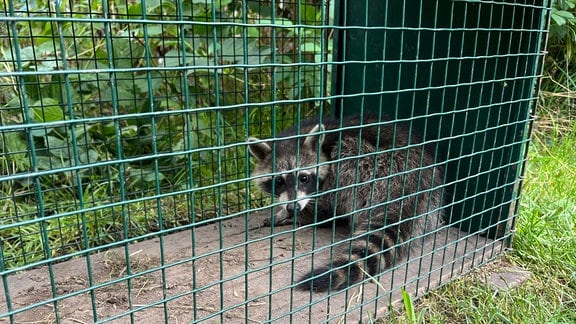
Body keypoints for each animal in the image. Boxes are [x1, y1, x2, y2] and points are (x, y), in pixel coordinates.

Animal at [248, 115, 446, 292]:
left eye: (303, 178)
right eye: (279, 181)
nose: (293, 208)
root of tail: (414, 183)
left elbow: (324, 198)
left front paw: (301, 214)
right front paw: (285, 211)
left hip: (375, 168)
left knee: (347, 155)